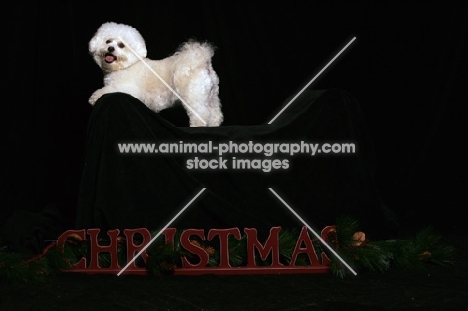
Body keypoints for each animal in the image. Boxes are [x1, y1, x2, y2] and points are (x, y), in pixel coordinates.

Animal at [88, 21, 223, 127]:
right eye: (108, 41)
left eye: (121, 45)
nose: (110, 48)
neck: (126, 66)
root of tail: (201, 61)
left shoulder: (126, 88)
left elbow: (107, 90)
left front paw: (94, 97)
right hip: (211, 95)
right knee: (215, 113)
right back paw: (214, 124)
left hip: (193, 95)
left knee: (201, 114)